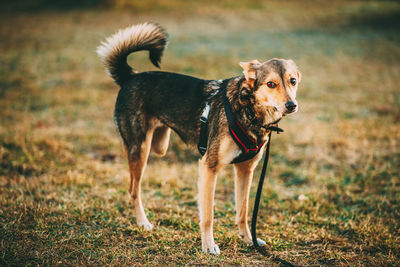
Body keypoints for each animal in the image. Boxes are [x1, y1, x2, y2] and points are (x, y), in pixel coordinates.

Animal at [95, 23, 298, 255]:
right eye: (271, 84)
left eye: (293, 81)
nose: (292, 105)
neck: (247, 107)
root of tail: (131, 76)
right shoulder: (209, 166)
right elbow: (208, 215)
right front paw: (208, 245)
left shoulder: (246, 170)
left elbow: (243, 211)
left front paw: (249, 240)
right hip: (140, 148)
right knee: (133, 189)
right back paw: (143, 223)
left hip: (159, 144)